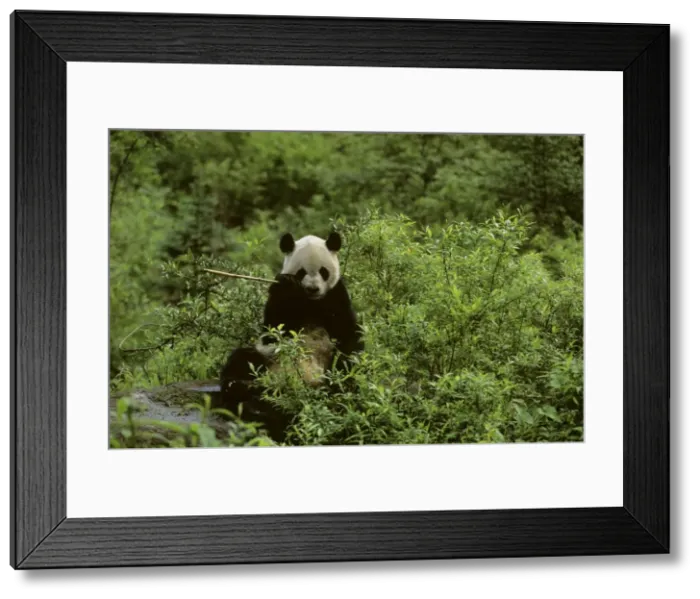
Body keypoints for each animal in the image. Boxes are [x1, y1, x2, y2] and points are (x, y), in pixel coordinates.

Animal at [217, 230, 364, 442]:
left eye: (323, 271)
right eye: (301, 272)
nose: (313, 288)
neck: (311, 302)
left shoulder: (336, 295)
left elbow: (347, 333)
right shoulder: (277, 301)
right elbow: (272, 332)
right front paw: (288, 286)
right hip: (268, 362)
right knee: (242, 359)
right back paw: (240, 388)